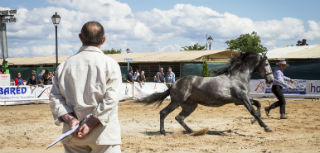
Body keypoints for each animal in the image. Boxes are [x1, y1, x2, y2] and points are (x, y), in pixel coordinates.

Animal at [139, 52, 274, 134]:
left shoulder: (238, 101)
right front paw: (266, 126)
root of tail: (174, 83)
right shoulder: (243, 98)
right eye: (267, 63)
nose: (271, 80)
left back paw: (192, 131)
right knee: (164, 113)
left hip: (190, 106)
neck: (238, 77)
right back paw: (163, 132)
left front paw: (253, 121)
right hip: (176, 102)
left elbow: (258, 104)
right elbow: (252, 110)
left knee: (179, 117)